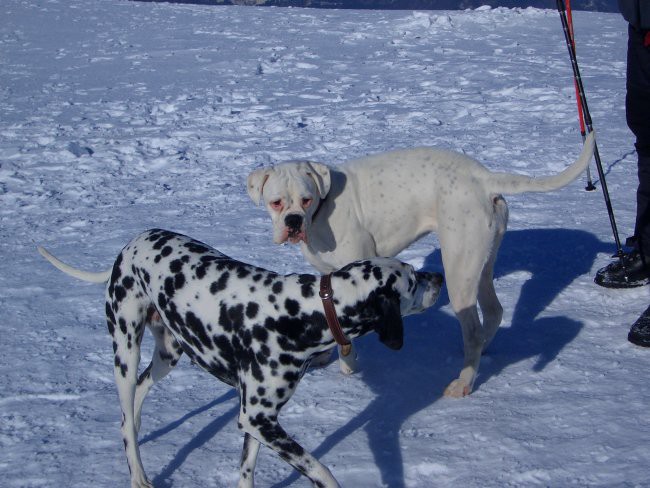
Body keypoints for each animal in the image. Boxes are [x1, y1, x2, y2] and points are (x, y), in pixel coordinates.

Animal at [38, 230, 442, 488]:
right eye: (412, 280)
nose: (438, 277)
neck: (304, 311)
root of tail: (131, 244)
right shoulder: (257, 419)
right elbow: (321, 469)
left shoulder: (256, 419)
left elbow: (246, 472)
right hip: (125, 348)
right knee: (124, 416)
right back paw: (138, 475)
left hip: (170, 354)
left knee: (138, 394)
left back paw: (137, 425)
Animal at [247, 132, 592, 396]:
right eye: (276, 202)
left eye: (305, 200)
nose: (293, 221)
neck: (323, 206)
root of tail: (483, 177)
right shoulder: (326, 280)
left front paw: (348, 367)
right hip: (480, 264)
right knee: (493, 312)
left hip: (459, 270)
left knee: (472, 327)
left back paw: (463, 382)